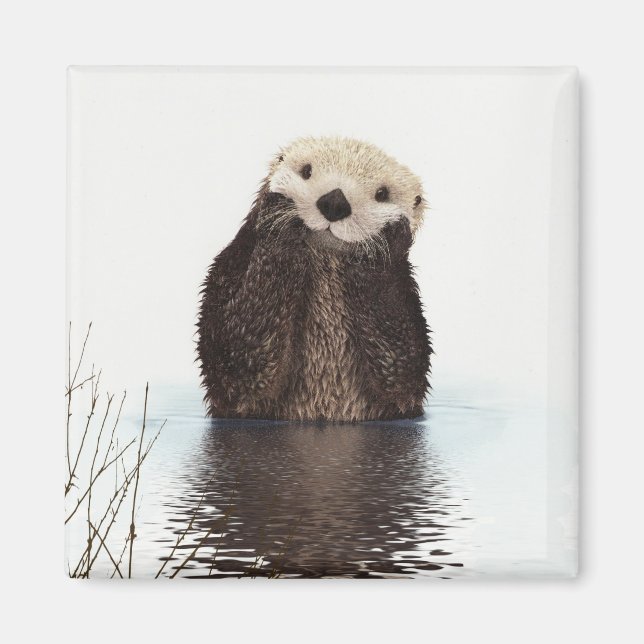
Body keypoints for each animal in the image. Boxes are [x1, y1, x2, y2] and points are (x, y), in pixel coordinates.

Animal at [197, 136, 432, 421]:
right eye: (306, 171)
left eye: (382, 194)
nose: (335, 202)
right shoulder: (231, 266)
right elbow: (236, 356)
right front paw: (280, 218)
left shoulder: (406, 298)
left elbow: (402, 368)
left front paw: (384, 240)